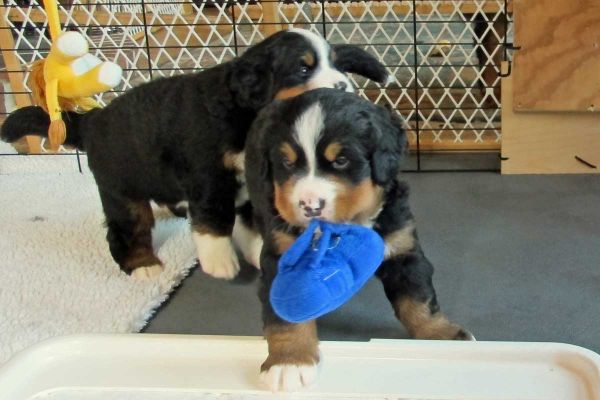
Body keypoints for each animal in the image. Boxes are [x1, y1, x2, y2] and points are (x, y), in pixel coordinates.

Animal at [1, 28, 390, 280]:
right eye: (304, 67)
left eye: (338, 65)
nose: (344, 86)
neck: (244, 114)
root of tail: (92, 120)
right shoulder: (208, 176)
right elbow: (213, 221)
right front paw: (221, 261)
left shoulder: (250, 179)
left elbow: (250, 222)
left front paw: (256, 251)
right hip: (121, 192)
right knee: (125, 230)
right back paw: (142, 266)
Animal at [244, 89, 474, 392]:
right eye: (287, 163)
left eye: (341, 160)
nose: (310, 205)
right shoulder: (282, 261)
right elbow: (285, 317)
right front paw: (288, 363)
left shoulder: (402, 248)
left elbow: (419, 300)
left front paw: (440, 336)